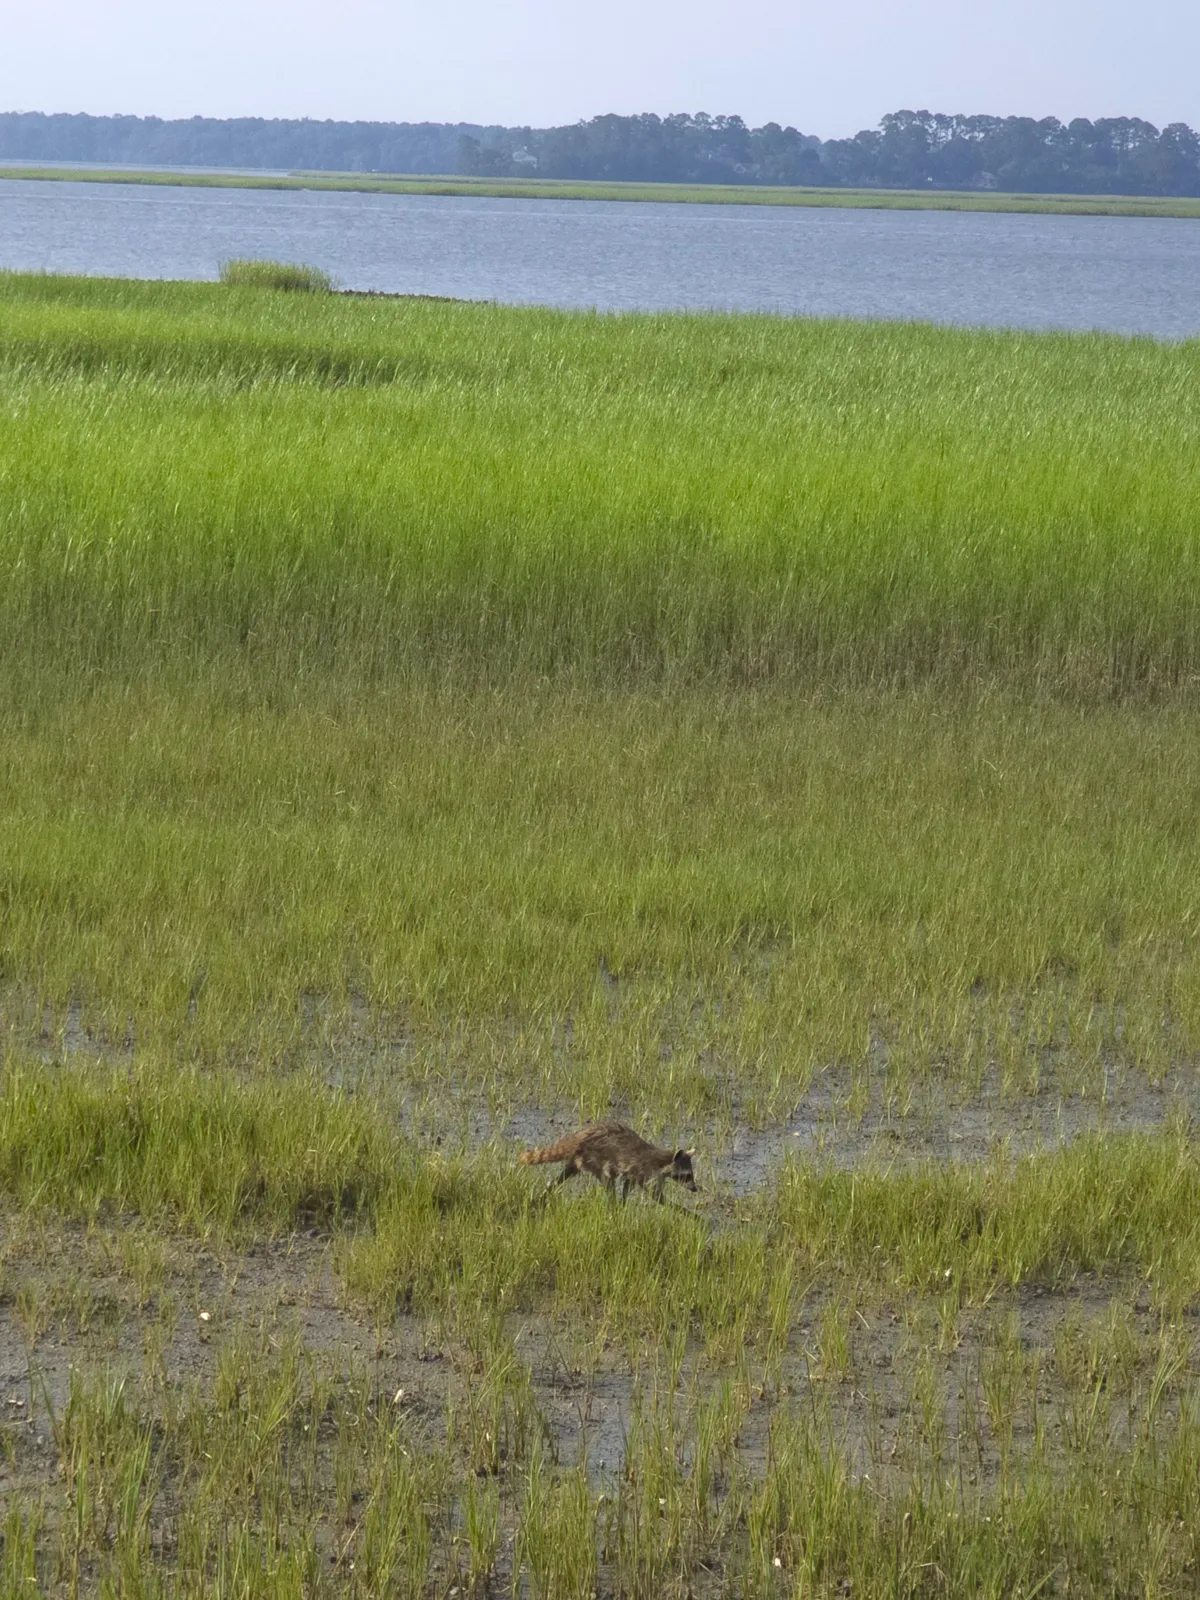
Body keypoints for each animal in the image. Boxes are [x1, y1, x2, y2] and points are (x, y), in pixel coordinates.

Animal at [519, 1121, 697, 1202]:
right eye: (686, 1175)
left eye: (691, 1175)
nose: (695, 1189)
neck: (663, 1159)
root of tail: (580, 1136)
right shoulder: (645, 1170)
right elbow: (656, 1197)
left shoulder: (637, 1173)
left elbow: (627, 1185)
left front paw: (623, 1205)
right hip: (594, 1157)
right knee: (607, 1179)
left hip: (579, 1158)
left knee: (564, 1174)